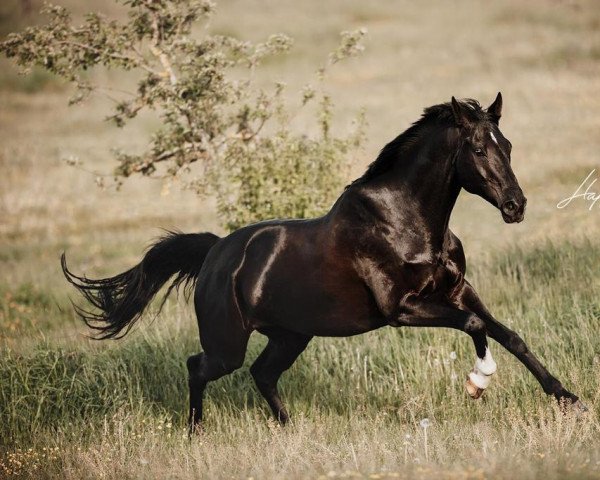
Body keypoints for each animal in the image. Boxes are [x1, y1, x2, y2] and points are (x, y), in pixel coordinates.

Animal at [63, 94, 584, 432]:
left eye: (507, 145)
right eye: (478, 148)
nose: (516, 206)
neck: (406, 221)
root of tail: (215, 253)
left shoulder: (456, 290)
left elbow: (510, 335)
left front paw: (569, 400)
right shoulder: (402, 309)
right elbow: (476, 326)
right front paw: (478, 382)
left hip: (291, 335)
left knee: (262, 374)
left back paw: (289, 429)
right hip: (228, 342)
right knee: (199, 367)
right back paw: (195, 432)